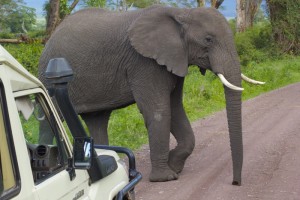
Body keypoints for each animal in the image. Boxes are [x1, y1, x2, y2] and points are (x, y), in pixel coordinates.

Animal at [38, 5, 264, 184]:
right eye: (208, 40)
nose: (235, 183)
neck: (181, 13)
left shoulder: (174, 59)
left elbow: (176, 109)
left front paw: (175, 166)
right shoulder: (143, 62)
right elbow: (159, 111)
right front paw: (165, 178)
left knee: (97, 119)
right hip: (49, 77)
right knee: (49, 118)